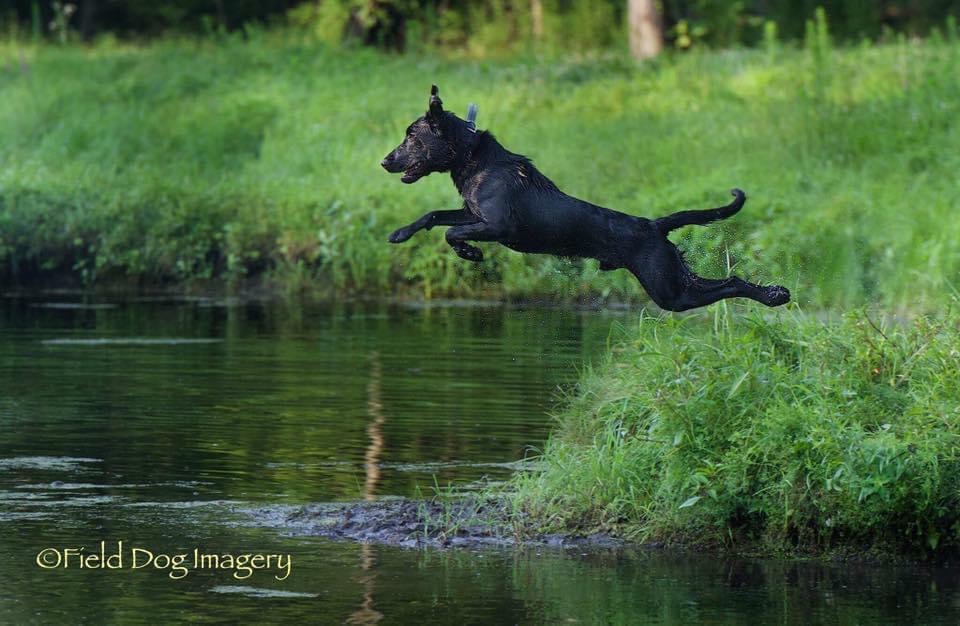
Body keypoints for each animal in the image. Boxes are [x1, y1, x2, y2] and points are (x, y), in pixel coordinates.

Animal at [378, 86, 792, 310]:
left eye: (412, 137)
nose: (384, 161)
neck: (472, 157)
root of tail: (653, 225)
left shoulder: (498, 226)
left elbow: (451, 232)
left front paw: (471, 254)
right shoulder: (471, 213)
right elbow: (433, 216)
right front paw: (399, 234)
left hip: (668, 290)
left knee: (731, 283)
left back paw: (774, 297)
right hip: (674, 278)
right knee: (725, 280)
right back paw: (776, 292)